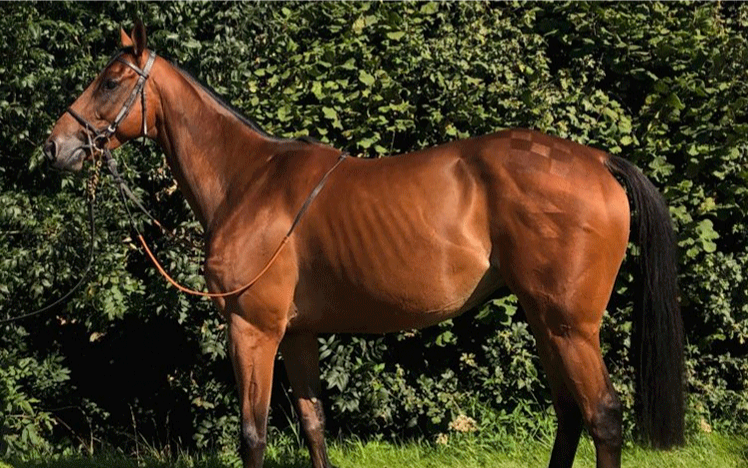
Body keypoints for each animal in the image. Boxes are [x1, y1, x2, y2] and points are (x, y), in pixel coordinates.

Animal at [44, 22, 684, 468]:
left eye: (110, 82)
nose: (55, 146)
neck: (248, 180)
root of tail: (598, 160)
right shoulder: (297, 334)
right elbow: (313, 425)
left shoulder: (252, 329)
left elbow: (253, 434)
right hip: (546, 321)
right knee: (570, 414)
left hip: (569, 325)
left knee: (602, 416)